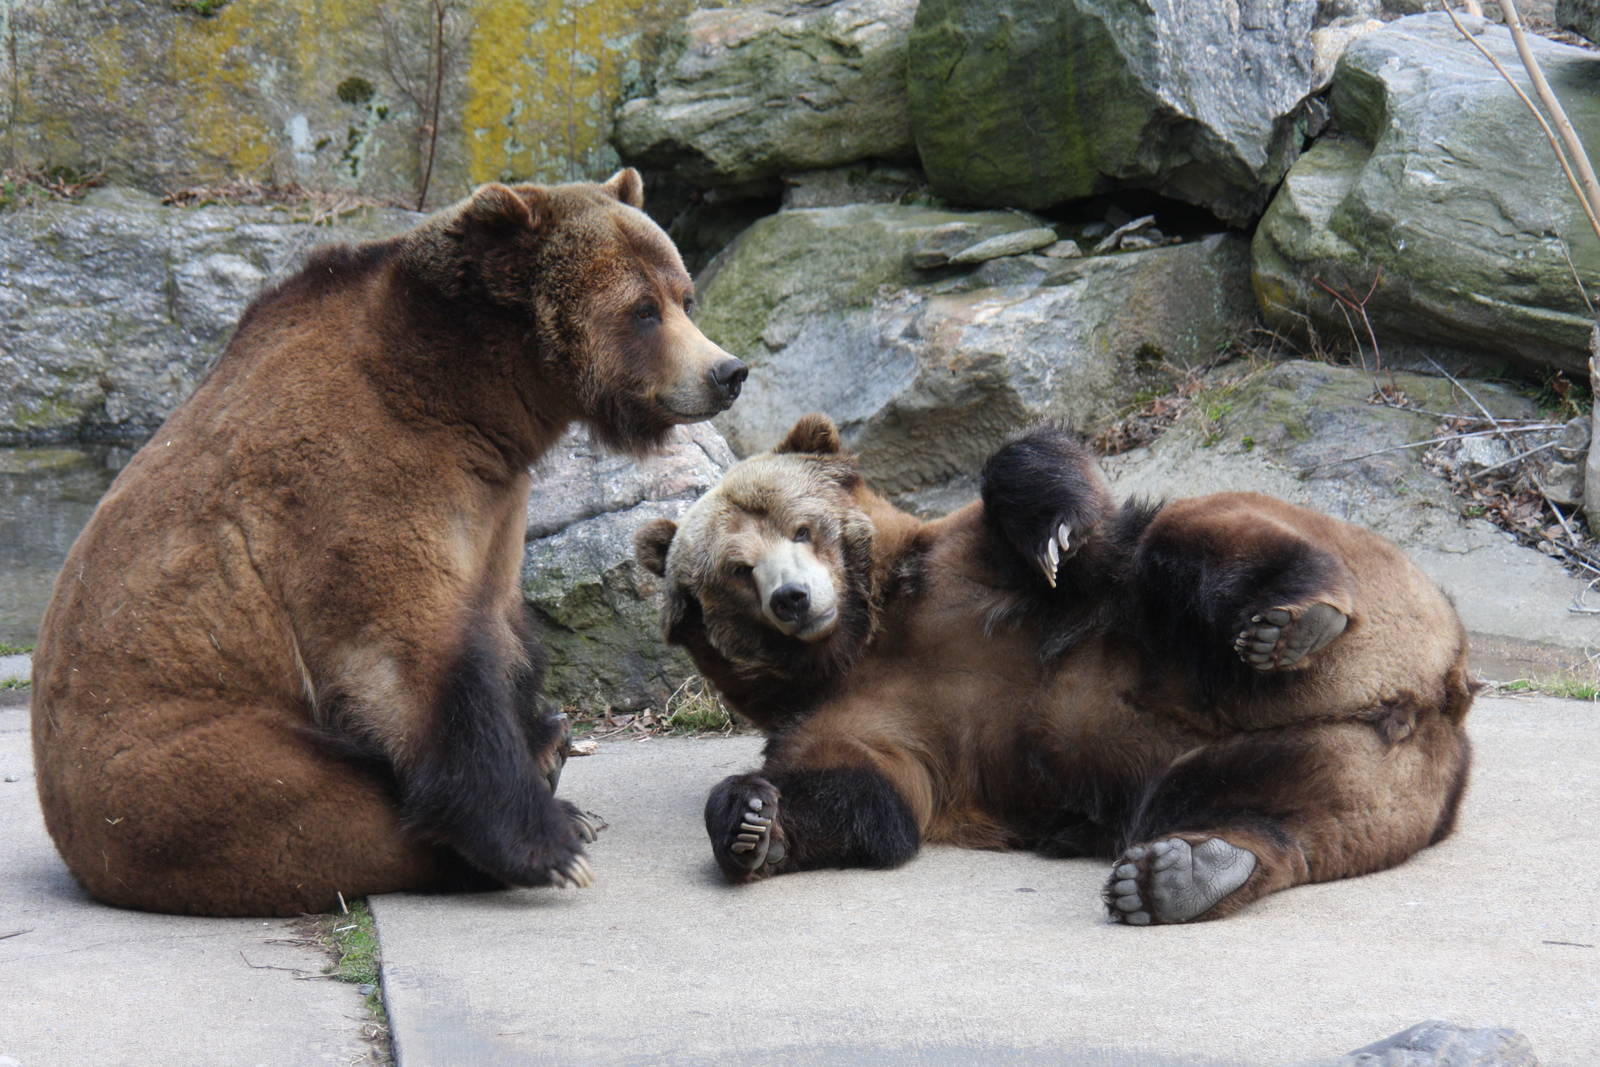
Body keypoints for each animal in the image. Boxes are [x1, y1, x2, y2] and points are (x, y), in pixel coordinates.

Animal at [31, 168, 747, 917]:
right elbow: (406, 654)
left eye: (684, 296)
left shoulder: (493, 504)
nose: (728, 371)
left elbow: (498, 624)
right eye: (643, 309)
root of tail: (74, 841)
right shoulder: (357, 480)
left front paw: (543, 737)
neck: (472, 397)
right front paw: (548, 844)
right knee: (317, 814)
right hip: (176, 759)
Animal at [634, 414, 1476, 924]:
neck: (865, 637)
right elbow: (868, 793)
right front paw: (752, 818)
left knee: (1186, 543)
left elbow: (1036, 483)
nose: (794, 596)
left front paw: (1054, 528)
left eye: (801, 527)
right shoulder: (858, 710)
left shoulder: (958, 569)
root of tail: (1433, 694)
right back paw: (1186, 872)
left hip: (1367, 590)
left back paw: (1293, 615)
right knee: (1256, 804)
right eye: (737, 568)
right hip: (1362, 773)